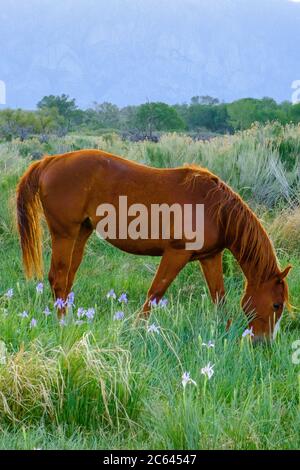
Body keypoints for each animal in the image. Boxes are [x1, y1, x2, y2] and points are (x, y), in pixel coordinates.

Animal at [15, 151, 290, 342]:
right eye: (277, 304)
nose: (263, 343)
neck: (215, 208)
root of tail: (50, 161)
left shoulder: (210, 257)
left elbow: (218, 297)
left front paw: (222, 331)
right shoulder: (177, 253)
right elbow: (155, 293)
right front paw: (137, 329)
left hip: (81, 233)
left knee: (67, 279)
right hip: (64, 234)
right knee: (59, 278)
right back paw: (64, 324)